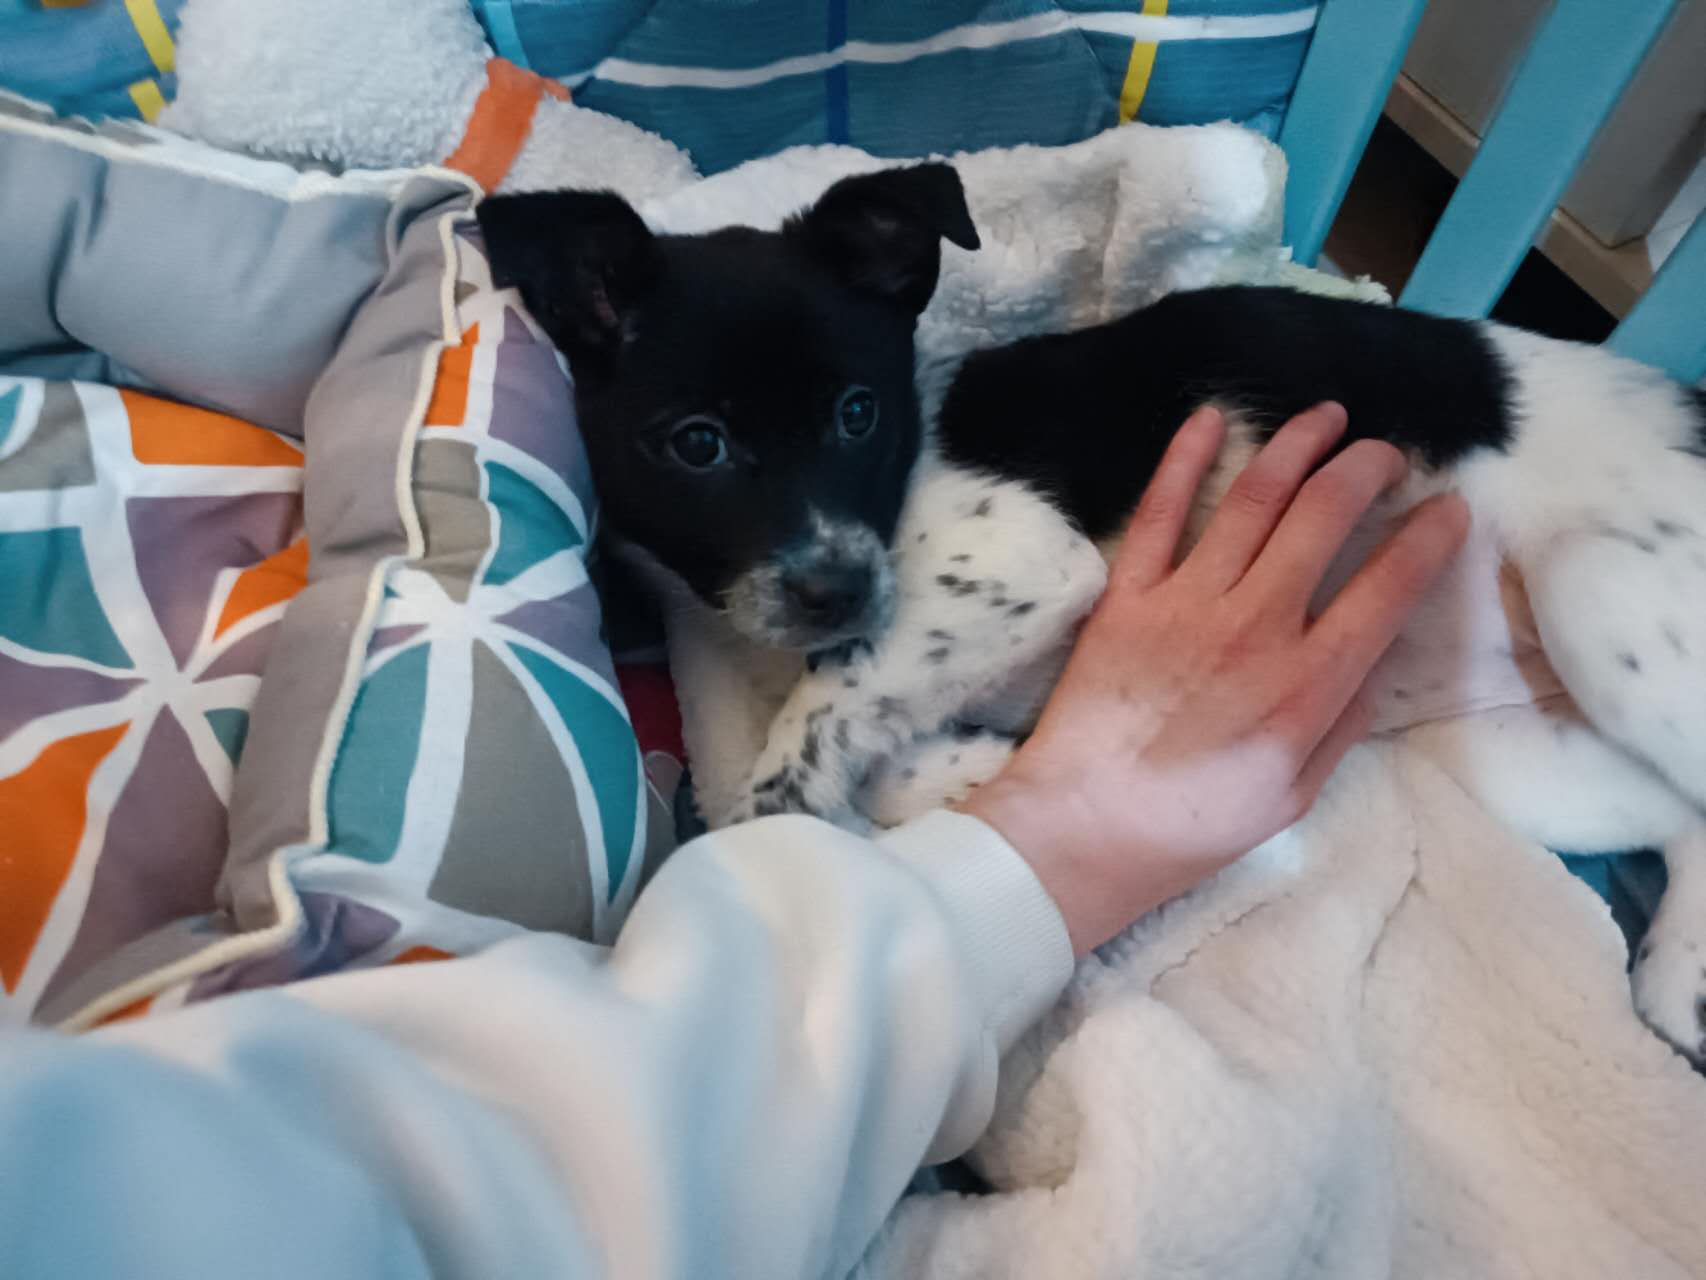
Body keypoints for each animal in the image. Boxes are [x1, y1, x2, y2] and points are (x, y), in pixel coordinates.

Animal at [477, 163, 1706, 1064]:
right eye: (698, 444)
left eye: (858, 412)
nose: (840, 592)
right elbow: (879, 746)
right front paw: (970, 770)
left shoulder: (1021, 559)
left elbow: (805, 743)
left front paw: (806, 798)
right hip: (1506, 760)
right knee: (1680, 816)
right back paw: (1677, 977)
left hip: (1596, 595)